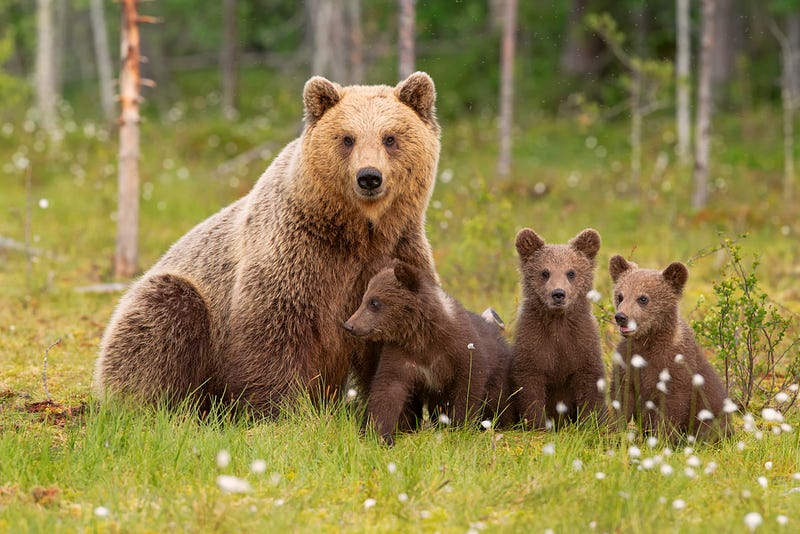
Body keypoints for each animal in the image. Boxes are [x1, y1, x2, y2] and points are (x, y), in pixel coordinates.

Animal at [97, 73, 444, 416]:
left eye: (390, 138)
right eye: (347, 138)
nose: (369, 177)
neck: (359, 232)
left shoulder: (396, 252)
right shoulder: (296, 252)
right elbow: (275, 328)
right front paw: (280, 410)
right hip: (174, 305)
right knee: (163, 318)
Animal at [344, 262, 512, 446]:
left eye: (374, 302)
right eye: (364, 299)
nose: (349, 325)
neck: (422, 335)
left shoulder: (459, 348)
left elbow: (468, 385)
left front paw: (460, 427)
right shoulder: (402, 354)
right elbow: (388, 389)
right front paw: (378, 434)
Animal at [512, 228, 608, 430]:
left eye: (571, 272)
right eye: (544, 272)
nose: (558, 293)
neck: (558, 321)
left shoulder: (581, 343)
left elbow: (590, 384)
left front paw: (590, 424)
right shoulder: (534, 343)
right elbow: (530, 386)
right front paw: (538, 424)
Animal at [608, 258, 732, 442]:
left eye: (643, 298)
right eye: (620, 296)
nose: (621, 317)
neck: (648, 342)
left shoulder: (675, 368)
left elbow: (671, 409)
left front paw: (660, 439)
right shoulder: (627, 361)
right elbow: (621, 398)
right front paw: (614, 434)